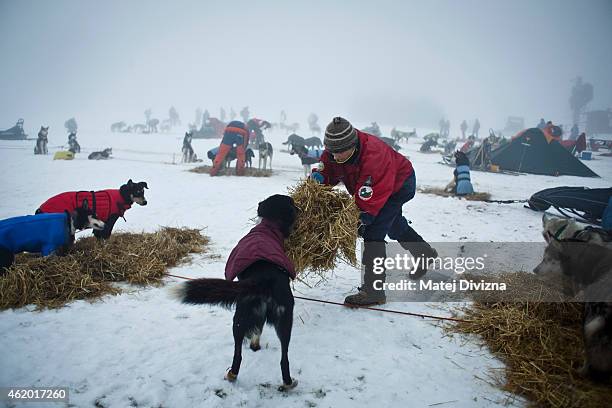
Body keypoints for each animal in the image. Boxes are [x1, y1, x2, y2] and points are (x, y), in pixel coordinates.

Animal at [170, 194, 298, 392]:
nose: (299, 210)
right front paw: (255, 345)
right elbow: (257, 329)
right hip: (282, 320)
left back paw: (233, 375)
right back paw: (286, 382)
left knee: (240, 354)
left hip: (241, 318)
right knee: (283, 357)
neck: (268, 226)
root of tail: (265, 279)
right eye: (291, 203)